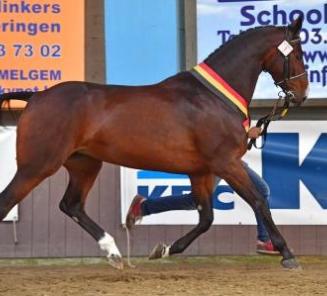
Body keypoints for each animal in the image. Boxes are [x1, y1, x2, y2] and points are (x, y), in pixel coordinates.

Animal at [0, 17, 308, 268]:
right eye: (297, 53)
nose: (302, 93)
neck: (213, 98)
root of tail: (37, 96)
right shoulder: (226, 163)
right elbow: (258, 201)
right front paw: (287, 254)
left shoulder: (201, 171)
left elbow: (206, 217)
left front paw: (167, 249)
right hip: (38, 165)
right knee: (8, 202)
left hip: (84, 164)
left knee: (71, 205)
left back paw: (114, 253)